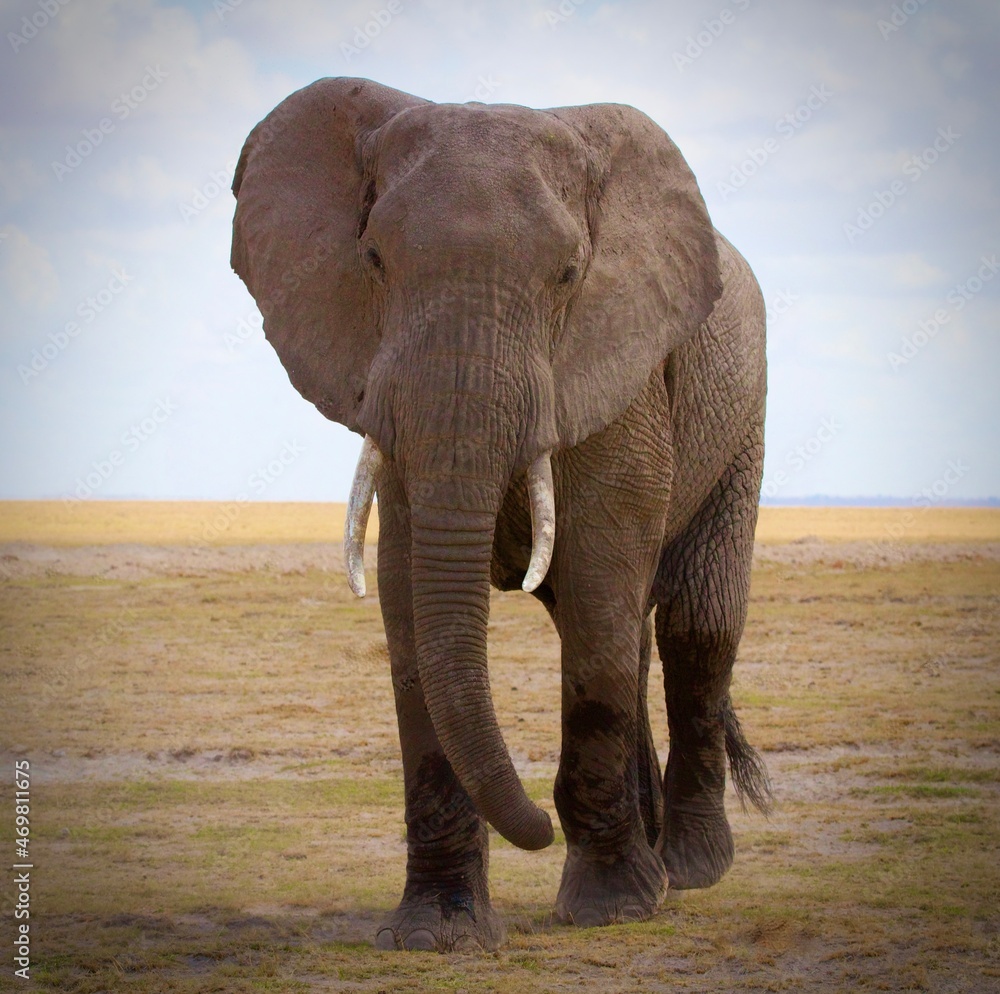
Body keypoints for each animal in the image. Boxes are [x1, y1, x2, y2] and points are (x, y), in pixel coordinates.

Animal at [230, 77, 772, 952]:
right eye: (373, 260)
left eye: (569, 274)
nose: (539, 830)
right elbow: (409, 602)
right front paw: (435, 934)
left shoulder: (618, 368)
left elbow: (599, 583)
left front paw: (610, 909)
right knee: (637, 636)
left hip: (741, 417)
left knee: (693, 623)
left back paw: (687, 871)